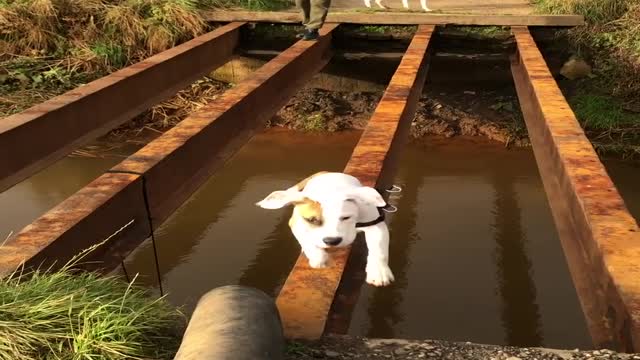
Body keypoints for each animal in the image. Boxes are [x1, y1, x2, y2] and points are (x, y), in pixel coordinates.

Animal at [256, 172, 396, 286]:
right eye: (311, 220)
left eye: (346, 217)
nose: (332, 241)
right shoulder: (297, 224)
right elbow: (308, 242)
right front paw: (319, 258)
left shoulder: (375, 223)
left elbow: (379, 249)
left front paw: (379, 271)